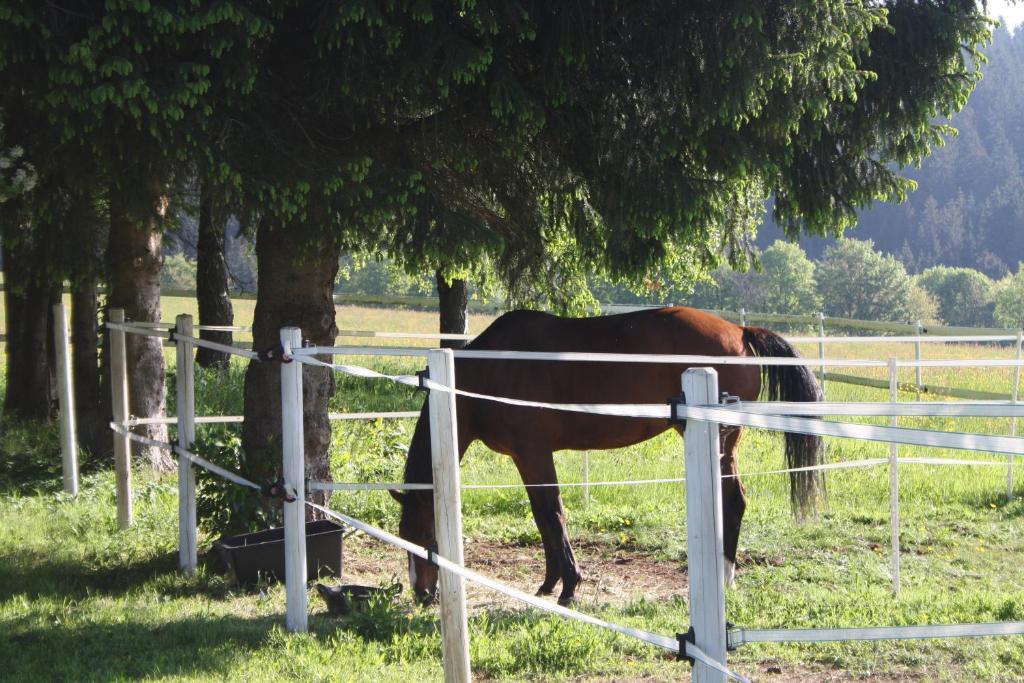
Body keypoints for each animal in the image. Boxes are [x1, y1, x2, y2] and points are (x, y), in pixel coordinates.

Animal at [391, 309, 823, 602]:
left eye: (421, 534)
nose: (421, 593)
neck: (491, 371)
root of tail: (740, 331)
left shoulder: (534, 454)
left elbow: (552, 513)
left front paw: (569, 587)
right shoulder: (525, 459)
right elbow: (542, 516)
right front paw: (549, 583)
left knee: (732, 501)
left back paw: (724, 576)